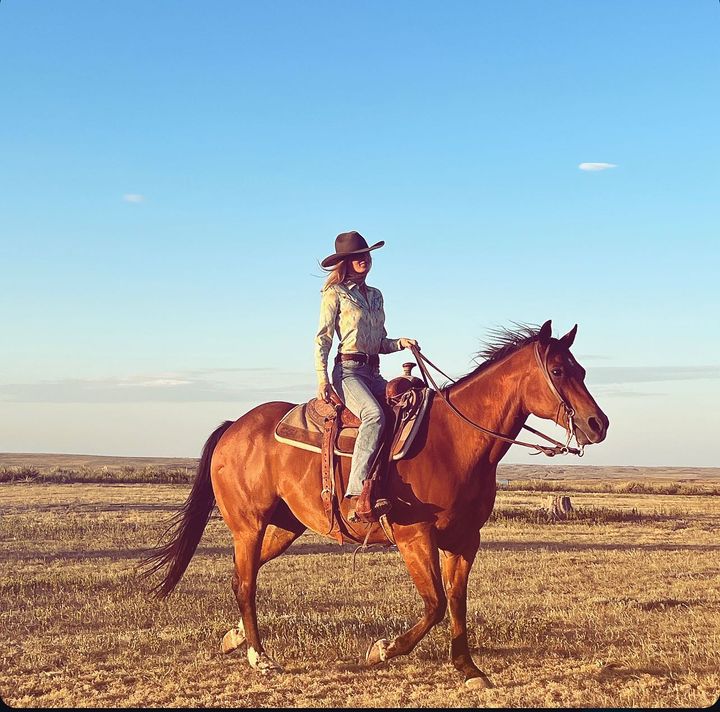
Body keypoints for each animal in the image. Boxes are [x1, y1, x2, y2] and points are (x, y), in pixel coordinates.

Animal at [143, 320, 612, 688]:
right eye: (557, 370)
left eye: (582, 369)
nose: (598, 424)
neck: (456, 442)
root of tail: (233, 428)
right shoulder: (413, 536)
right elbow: (435, 604)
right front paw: (384, 649)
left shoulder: (465, 540)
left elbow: (456, 601)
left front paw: (468, 669)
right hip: (249, 525)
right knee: (245, 583)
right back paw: (260, 658)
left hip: (284, 526)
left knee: (245, 574)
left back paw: (237, 638)